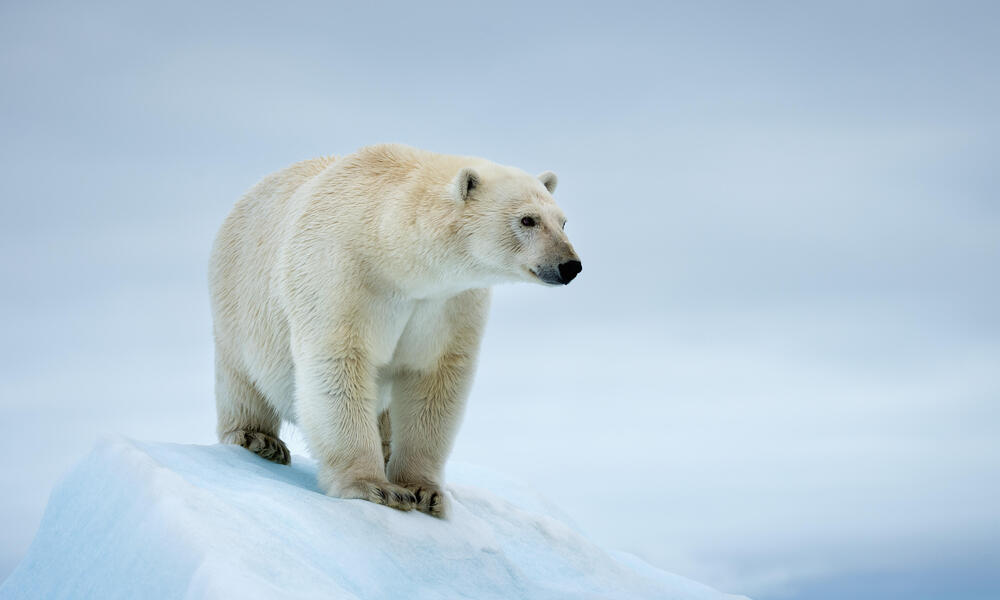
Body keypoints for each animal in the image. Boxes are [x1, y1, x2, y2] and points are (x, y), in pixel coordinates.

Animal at [211, 144, 584, 516]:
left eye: (563, 221)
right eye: (527, 219)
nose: (570, 265)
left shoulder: (448, 303)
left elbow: (435, 380)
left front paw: (424, 492)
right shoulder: (340, 274)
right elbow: (339, 364)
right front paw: (374, 487)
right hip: (240, 300)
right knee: (241, 379)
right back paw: (258, 439)